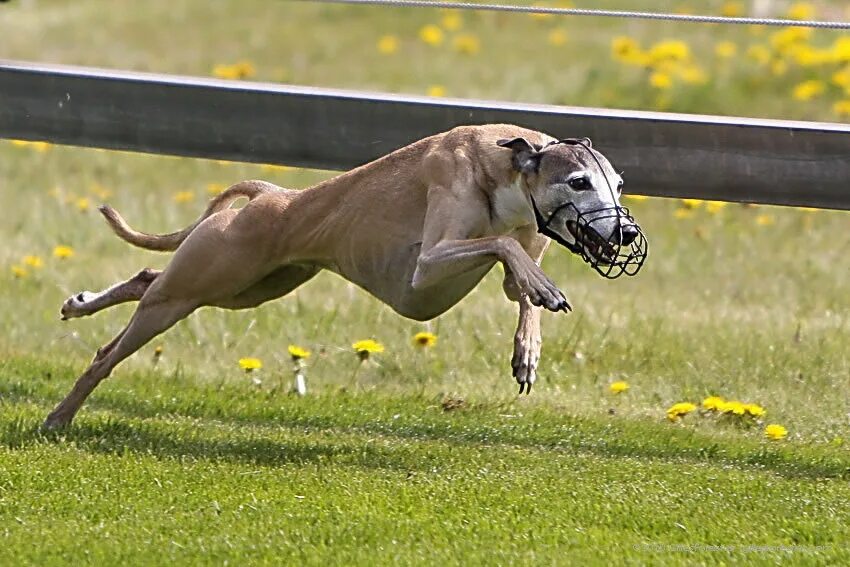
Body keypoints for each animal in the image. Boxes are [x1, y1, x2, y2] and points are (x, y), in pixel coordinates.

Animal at [44, 123, 644, 426]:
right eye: (578, 182)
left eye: (618, 183)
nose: (624, 236)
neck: (507, 165)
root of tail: (273, 194)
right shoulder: (428, 267)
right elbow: (497, 247)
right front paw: (544, 290)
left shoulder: (520, 245)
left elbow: (516, 281)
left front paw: (528, 349)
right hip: (203, 283)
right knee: (111, 349)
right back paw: (59, 414)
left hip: (249, 286)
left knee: (149, 275)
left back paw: (79, 304)